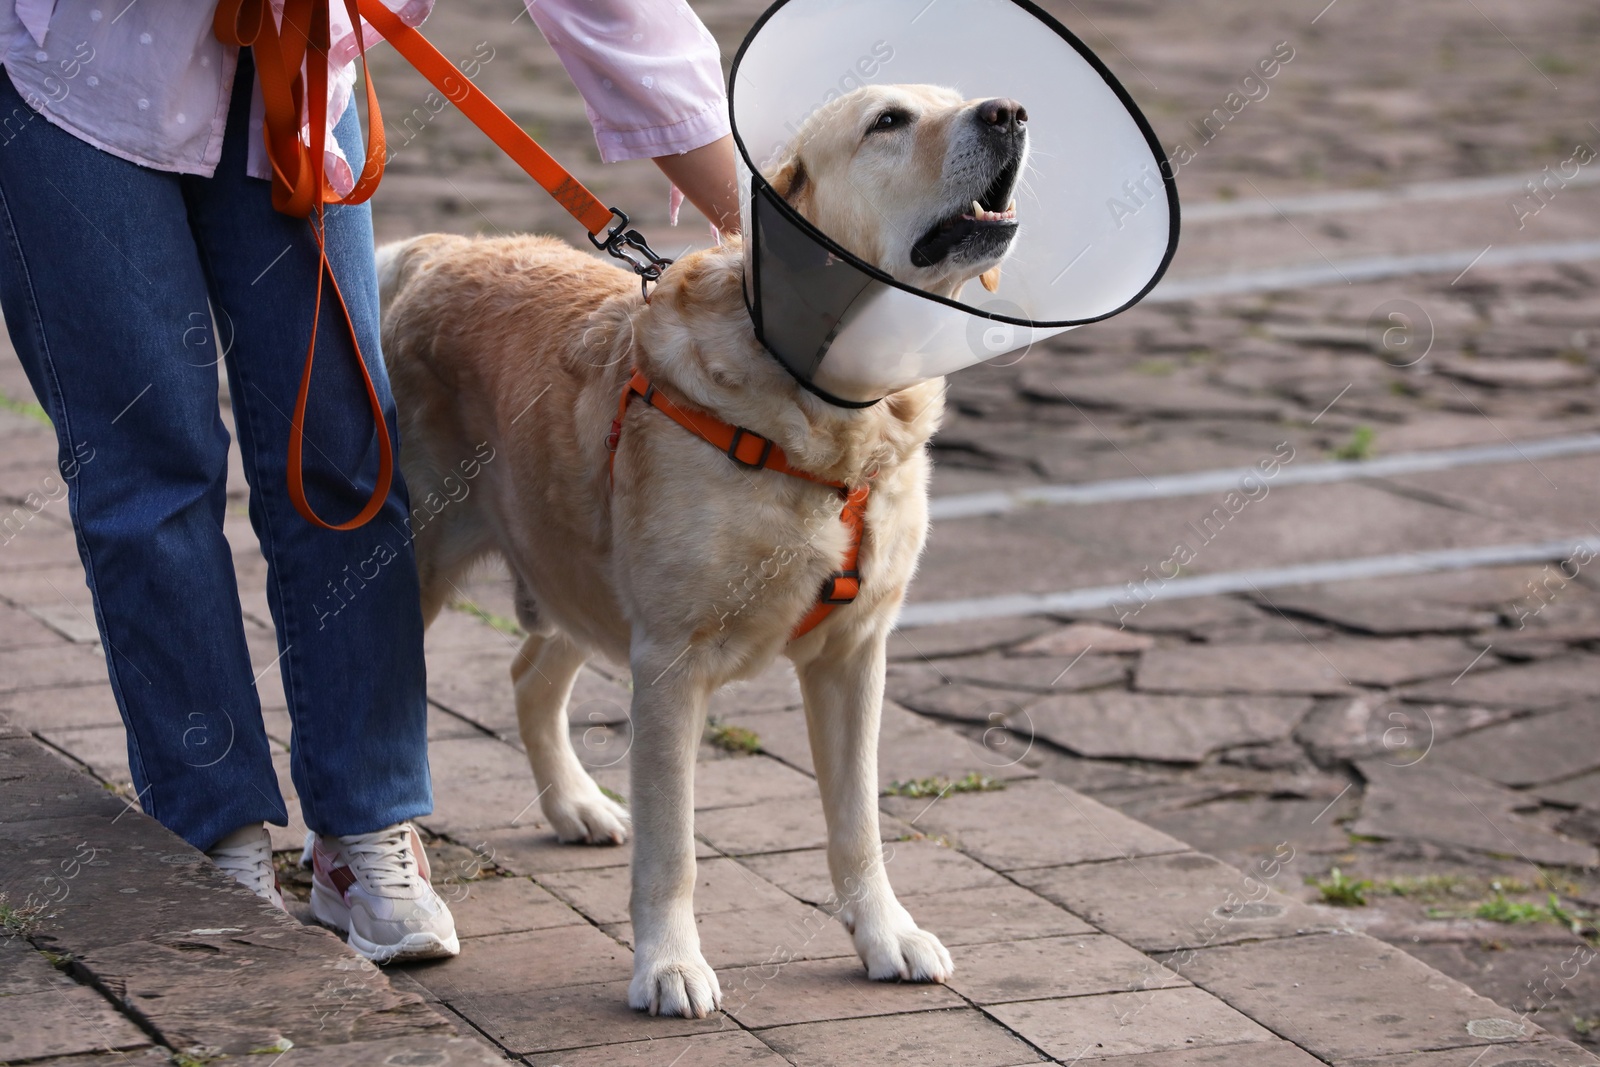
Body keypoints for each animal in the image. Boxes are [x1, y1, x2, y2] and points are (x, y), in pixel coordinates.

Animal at [374, 83, 1024, 1017]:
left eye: (961, 97)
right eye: (889, 122)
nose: (1009, 112)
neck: (828, 415)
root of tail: (438, 249)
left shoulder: (855, 653)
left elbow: (858, 822)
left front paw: (885, 934)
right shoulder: (669, 660)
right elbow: (672, 846)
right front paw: (669, 965)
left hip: (578, 565)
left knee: (529, 674)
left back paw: (576, 804)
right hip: (421, 567)